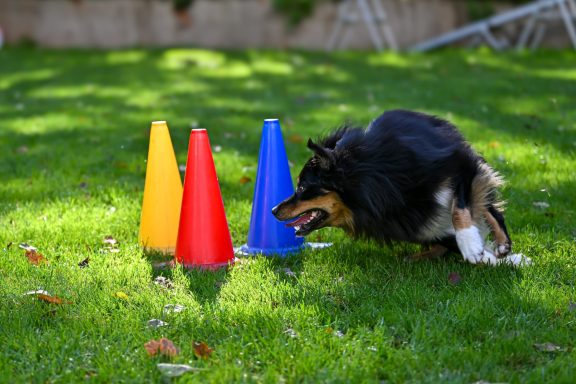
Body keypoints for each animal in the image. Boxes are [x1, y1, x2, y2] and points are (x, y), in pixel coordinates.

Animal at [272, 109, 528, 266]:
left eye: (302, 187)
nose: (273, 210)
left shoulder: (458, 162)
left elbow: (459, 209)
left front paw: (472, 245)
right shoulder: (405, 221)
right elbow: (451, 237)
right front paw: (491, 257)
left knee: (489, 208)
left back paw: (502, 243)